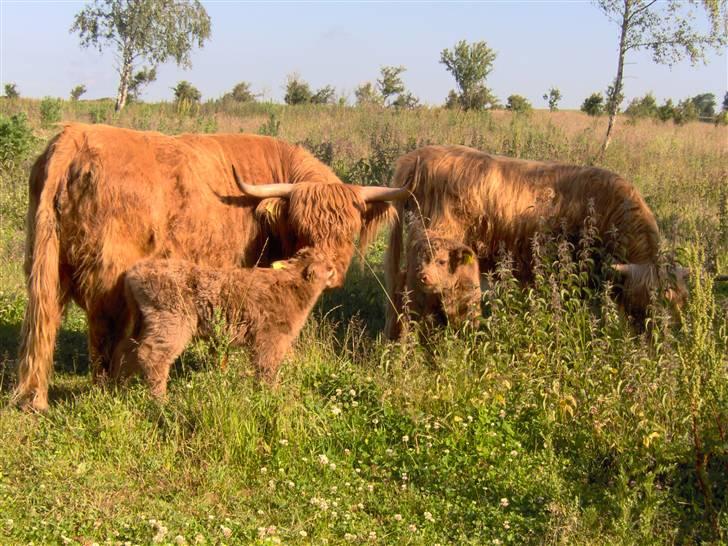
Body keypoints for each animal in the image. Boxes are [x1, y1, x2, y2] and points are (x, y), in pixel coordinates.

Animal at [111, 248, 336, 398]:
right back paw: (160, 401)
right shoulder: (270, 337)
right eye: (327, 266)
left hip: (143, 321)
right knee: (152, 356)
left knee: (126, 350)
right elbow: (267, 368)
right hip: (172, 321)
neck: (294, 284)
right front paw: (270, 396)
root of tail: (134, 272)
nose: (334, 270)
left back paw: (118, 388)